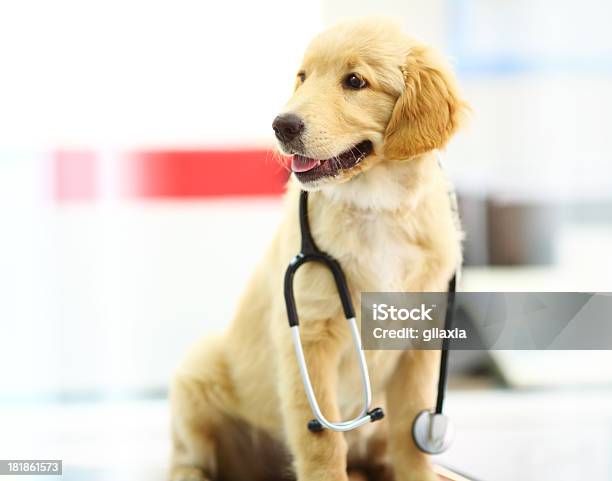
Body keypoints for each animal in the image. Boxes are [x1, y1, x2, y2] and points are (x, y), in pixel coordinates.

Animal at [170, 17, 466, 480]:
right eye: (302, 77)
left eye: (355, 81)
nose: (282, 125)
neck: (376, 206)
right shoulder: (309, 337)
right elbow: (321, 439)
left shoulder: (421, 341)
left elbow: (412, 439)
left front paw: (419, 473)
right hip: (197, 371)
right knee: (187, 459)